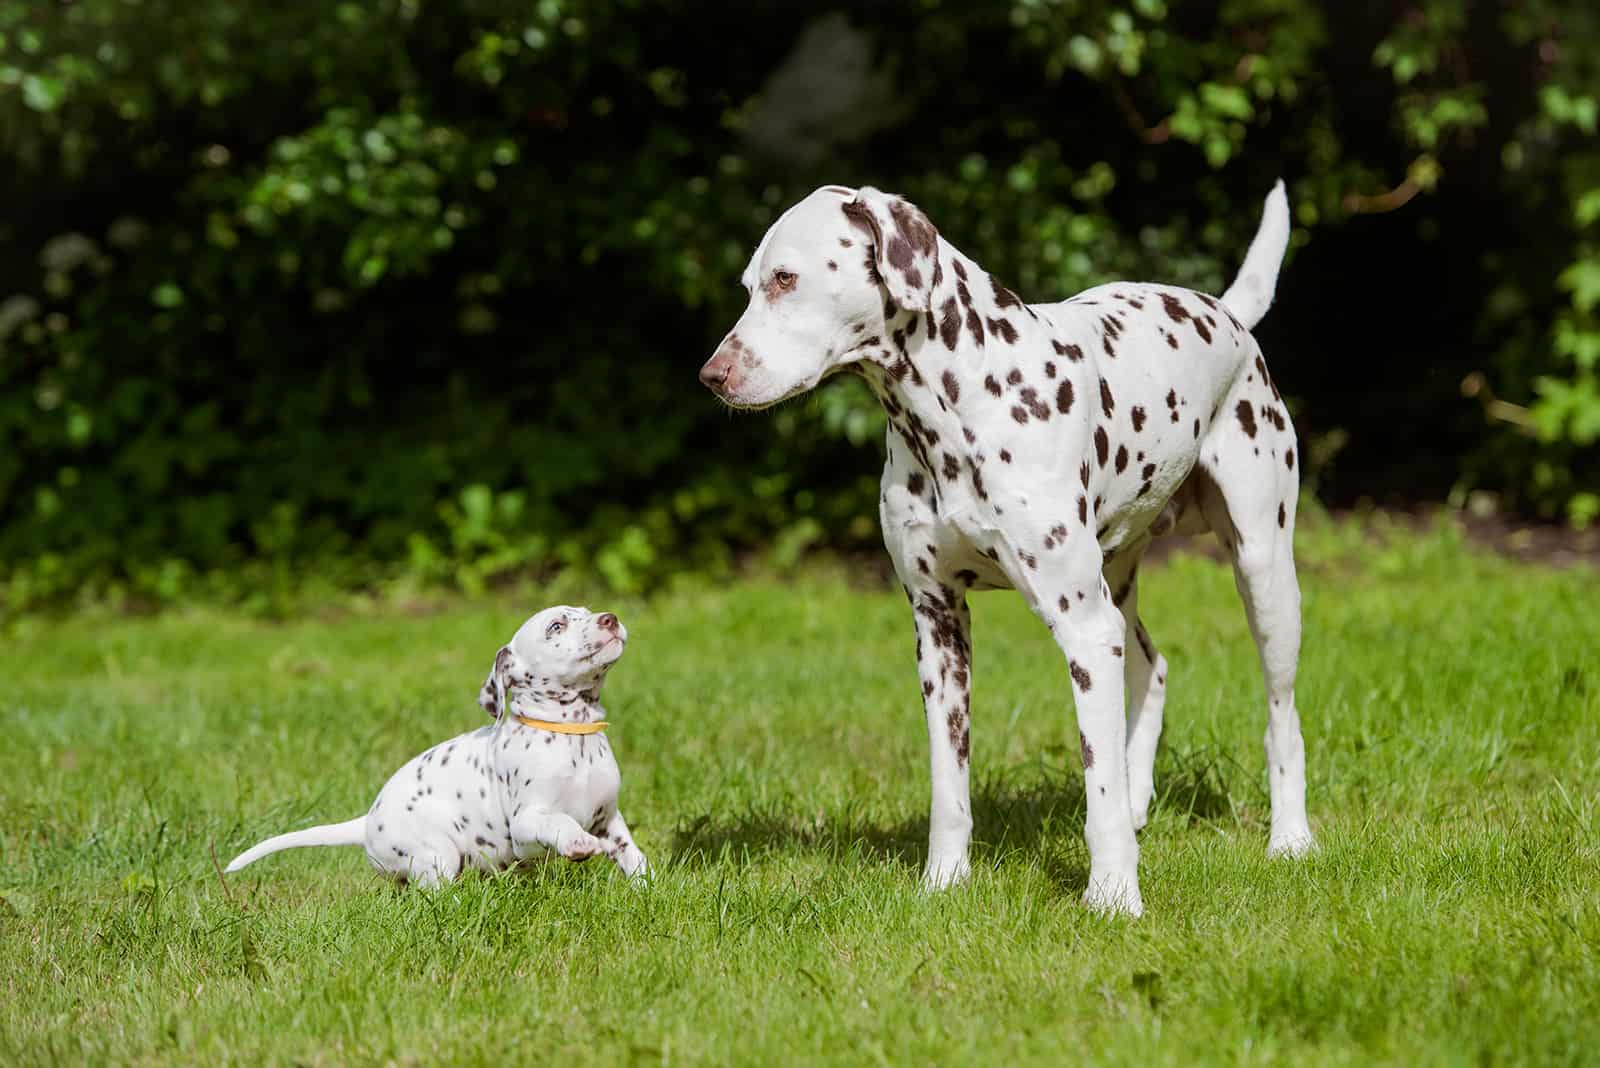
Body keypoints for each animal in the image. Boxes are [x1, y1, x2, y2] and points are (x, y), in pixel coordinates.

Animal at [227, 604, 649, 888]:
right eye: (556, 626)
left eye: (588, 612)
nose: (610, 618)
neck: (574, 733)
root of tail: (367, 823)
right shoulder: (526, 822)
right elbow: (558, 823)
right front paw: (577, 842)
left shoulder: (609, 818)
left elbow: (632, 854)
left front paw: (646, 887)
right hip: (436, 854)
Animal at [700, 179, 1312, 914]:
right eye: (748, 284)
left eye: (786, 278)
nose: (711, 374)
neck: (961, 406)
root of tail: (1227, 313)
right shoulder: (939, 631)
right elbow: (949, 788)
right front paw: (944, 881)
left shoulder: (1082, 629)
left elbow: (1097, 789)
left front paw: (1113, 894)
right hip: (1118, 587)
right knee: (1152, 666)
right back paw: (1142, 799)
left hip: (1262, 575)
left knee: (1281, 717)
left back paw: (1290, 838)